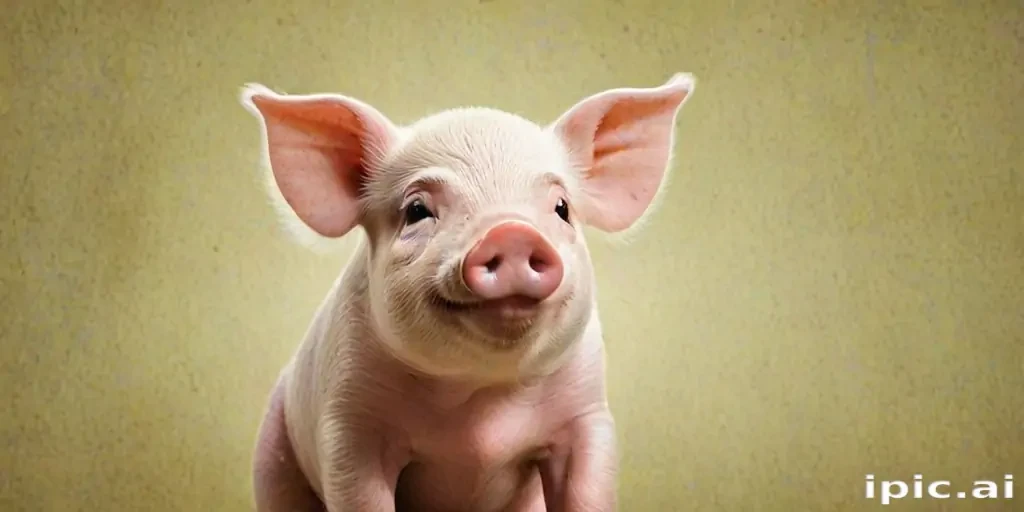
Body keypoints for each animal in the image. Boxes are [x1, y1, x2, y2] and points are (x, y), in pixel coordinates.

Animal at [239, 72, 697, 512]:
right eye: (416, 210)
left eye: (562, 208)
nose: (511, 232)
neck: (479, 406)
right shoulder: (350, 424)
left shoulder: (587, 416)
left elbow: (586, 492)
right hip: (273, 453)